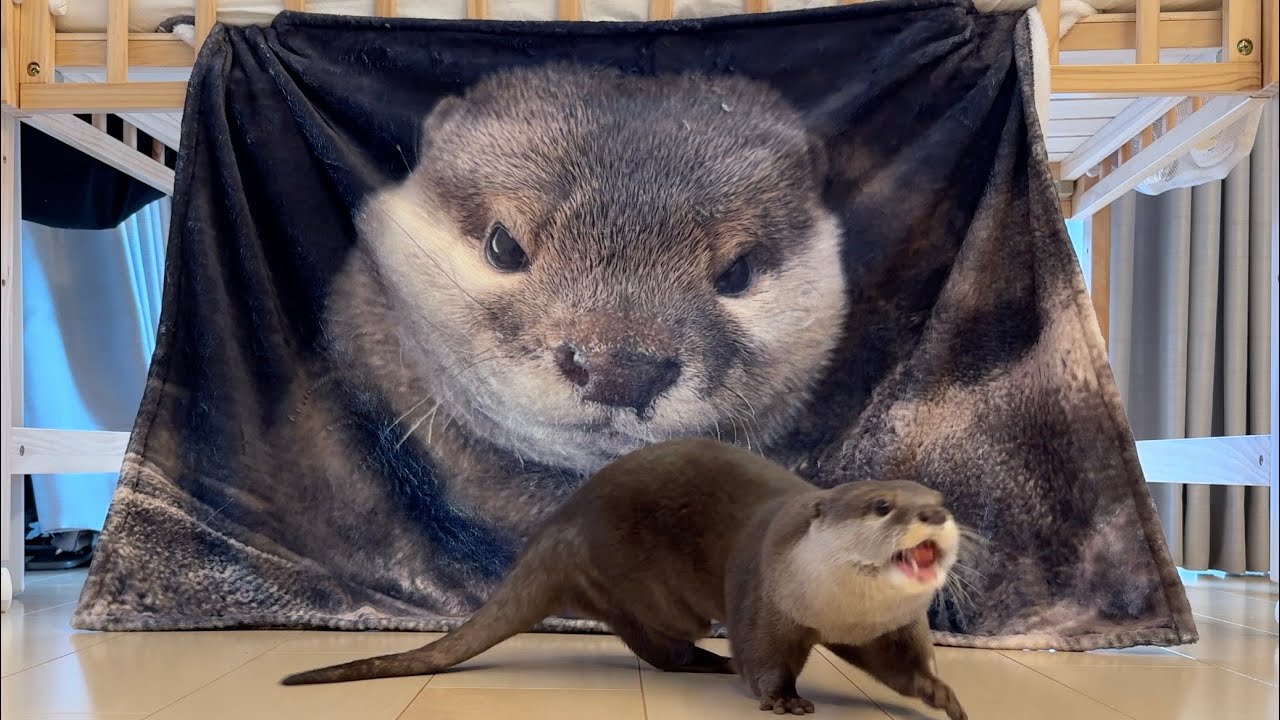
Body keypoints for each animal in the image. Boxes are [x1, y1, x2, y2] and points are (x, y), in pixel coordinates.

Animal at [282, 439, 967, 720]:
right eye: (883, 505)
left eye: (940, 499)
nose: (933, 514)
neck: (830, 606)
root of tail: (557, 526)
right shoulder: (763, 599)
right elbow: (764, 657)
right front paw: (783, 699)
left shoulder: (883, 629)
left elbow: (900, 666)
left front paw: (941, 694)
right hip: (635, 581)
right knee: (659, 645)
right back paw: (712, 661)